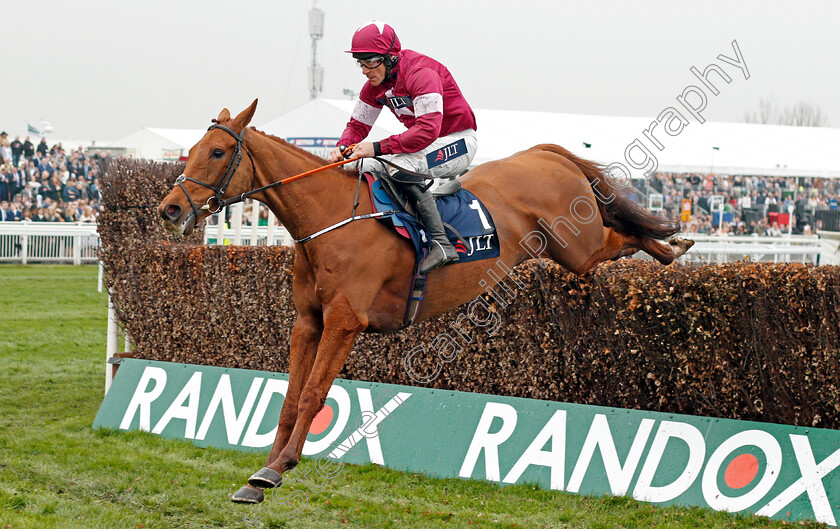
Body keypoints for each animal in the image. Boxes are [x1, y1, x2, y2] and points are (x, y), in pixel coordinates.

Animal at [159, 100, 696, 504]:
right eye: (191, 151)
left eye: (218, 151)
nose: (170, 208)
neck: (330, 218)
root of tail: (544, 153)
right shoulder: (308, 321)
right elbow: (291, 396)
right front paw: (261, 473)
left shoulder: (344, 322)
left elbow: (313, 394)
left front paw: (278, 469)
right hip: (573, 249)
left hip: (578, 246)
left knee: (620, 235)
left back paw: (672, 245)